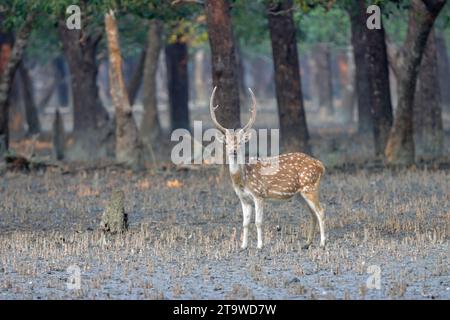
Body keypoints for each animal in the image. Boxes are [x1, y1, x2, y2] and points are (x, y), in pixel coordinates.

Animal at [209, 86, 326, 249]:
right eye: (227, 142)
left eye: (241, 142)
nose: (233, 151)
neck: (242, 179)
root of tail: (320, 165)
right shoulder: (243, 198)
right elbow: (245, 223)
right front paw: (243, 246)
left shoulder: (259, 194)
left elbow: (258, 222)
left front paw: (259, 245)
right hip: (300, 194)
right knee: (313, 213)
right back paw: (307, 243)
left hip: (310, 186)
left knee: (321, 211)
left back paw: (322, 243)